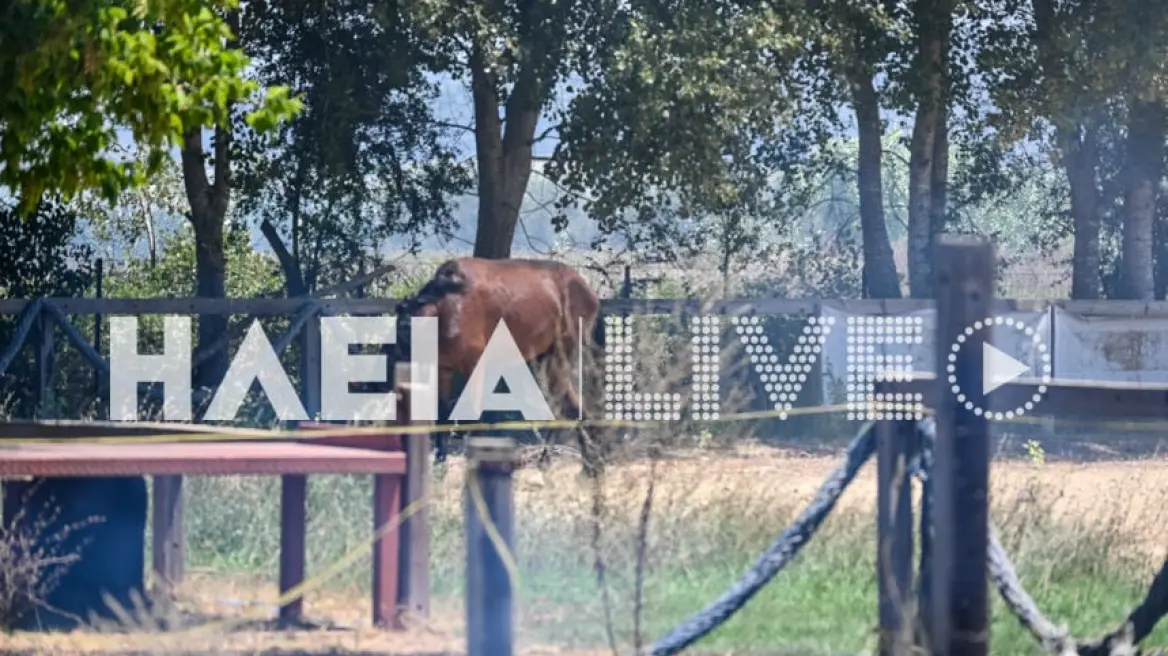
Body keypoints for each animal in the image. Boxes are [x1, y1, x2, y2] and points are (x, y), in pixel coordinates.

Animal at [397, 255, 607, 473]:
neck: (448, 306)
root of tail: (590, 293)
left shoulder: (474, 366)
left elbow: (474, 415)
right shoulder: (443, 369)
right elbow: (442, 416)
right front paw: (439, 467)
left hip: (561, 355)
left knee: (561, 407)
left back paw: (549, 461)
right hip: (546, 358)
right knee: (575, 406)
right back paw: (590, 465)